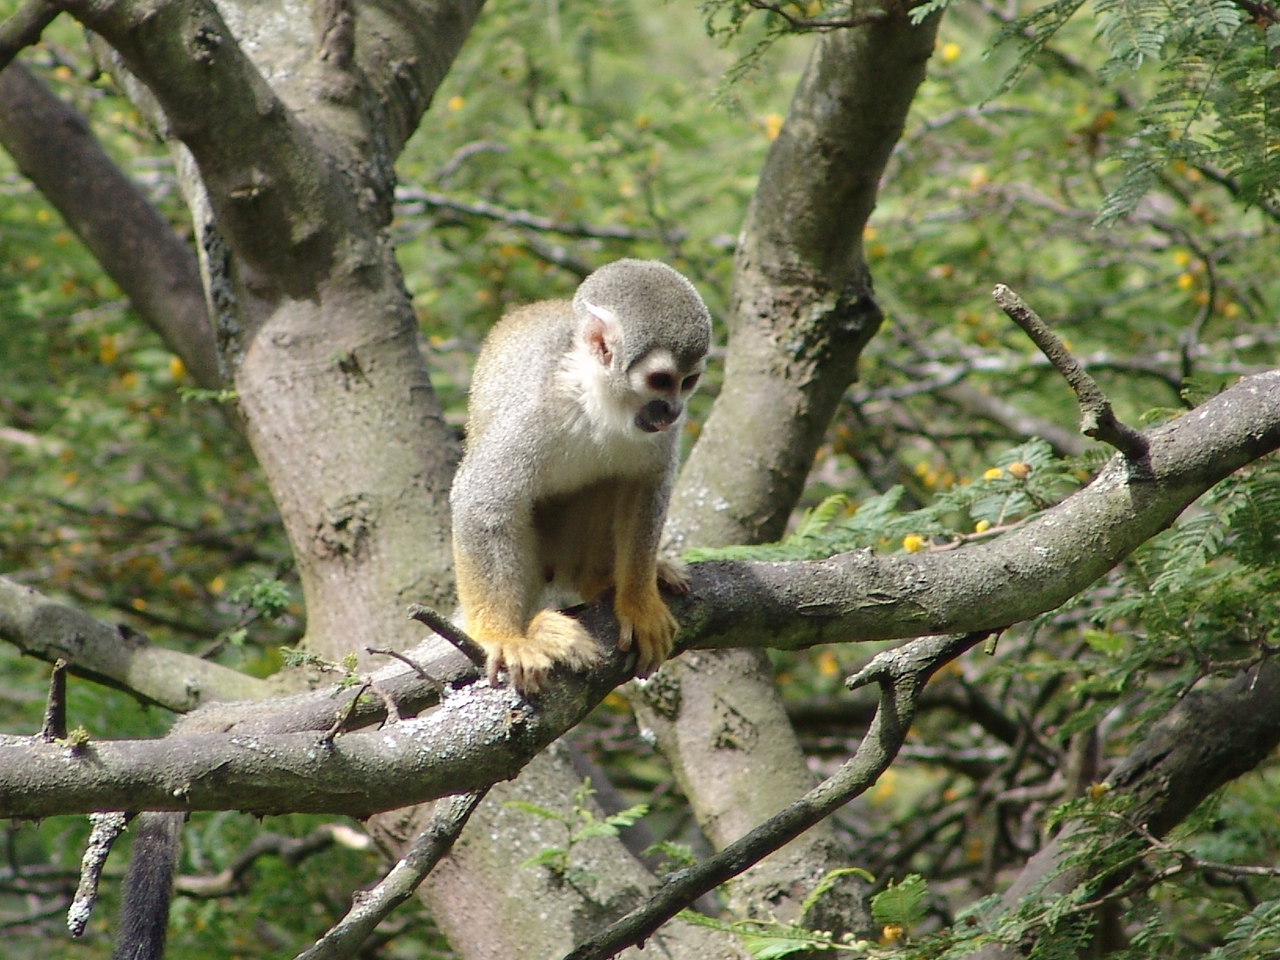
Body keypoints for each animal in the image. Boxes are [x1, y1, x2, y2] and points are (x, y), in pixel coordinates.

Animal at [450, 258, 711, 694]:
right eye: (660, 380)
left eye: (688, 382)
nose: (674, 411)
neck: (598, 400)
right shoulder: (534, 410)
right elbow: (482, 502)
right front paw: (500, 636)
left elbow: (646, 486)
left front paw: (638, 601)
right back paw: (538, 628)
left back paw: (602, 580)